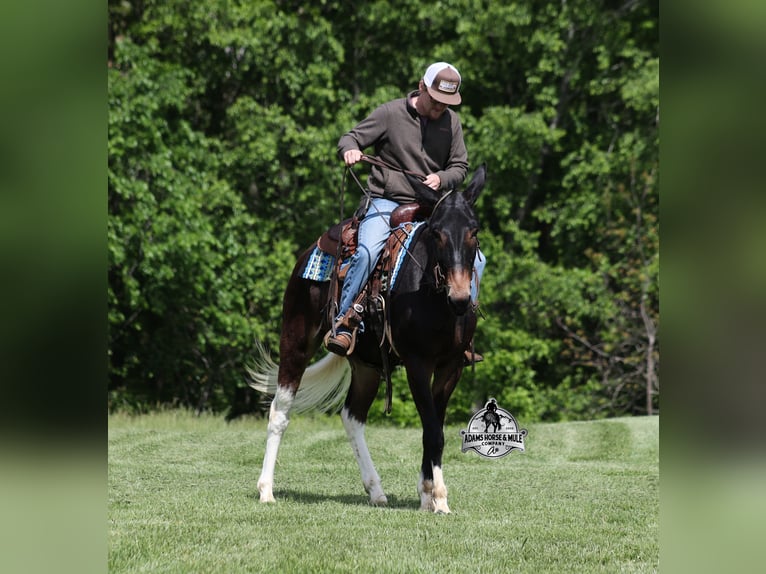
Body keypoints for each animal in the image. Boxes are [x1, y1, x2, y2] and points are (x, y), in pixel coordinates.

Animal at [249, 164, 486, 513]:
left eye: (474, 231)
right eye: (436, 232)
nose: (459, 296)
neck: (435, 299)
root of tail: (310, 250)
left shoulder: (451, 367)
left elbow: (434, 428)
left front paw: (427, 494)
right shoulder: (418, 364)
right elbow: (433, 431)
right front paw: (438, 498)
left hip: (367, 366)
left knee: (352, 416)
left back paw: (375, 489)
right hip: (295, 340)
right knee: (280, 411)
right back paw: (266, 490)